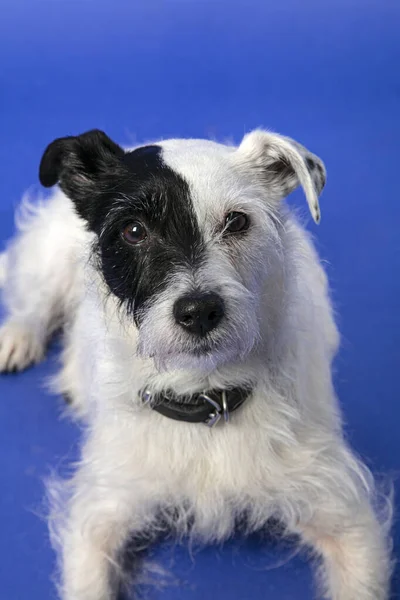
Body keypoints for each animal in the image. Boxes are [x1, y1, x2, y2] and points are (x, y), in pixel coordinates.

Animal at [0, 129, 394, 596]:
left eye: (237, 221)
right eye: (134, 230)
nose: (199, 311)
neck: (204, 397)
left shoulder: (347, 519)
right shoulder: (98, 517)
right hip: (48, 263)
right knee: (34, 301)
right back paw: (18, 338)